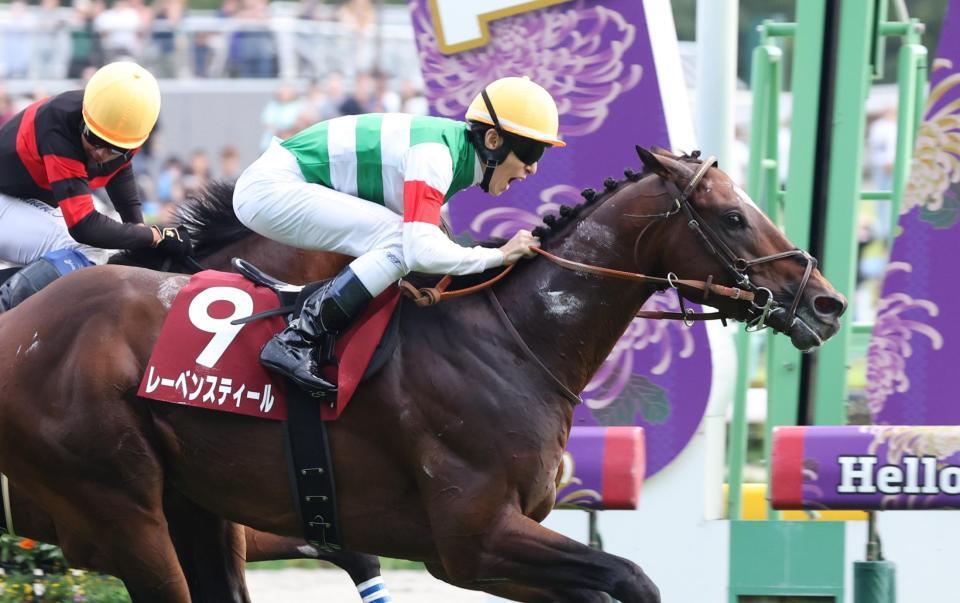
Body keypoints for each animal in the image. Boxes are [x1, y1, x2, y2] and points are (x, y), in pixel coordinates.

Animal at [0, 148, 845, 602]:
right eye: (732, 216)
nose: (828, 302)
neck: (514, 340)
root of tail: (21, 326)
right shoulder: (474, 538)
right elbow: (633, 576)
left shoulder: (492, 551)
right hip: (121, 507)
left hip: (197, 507)